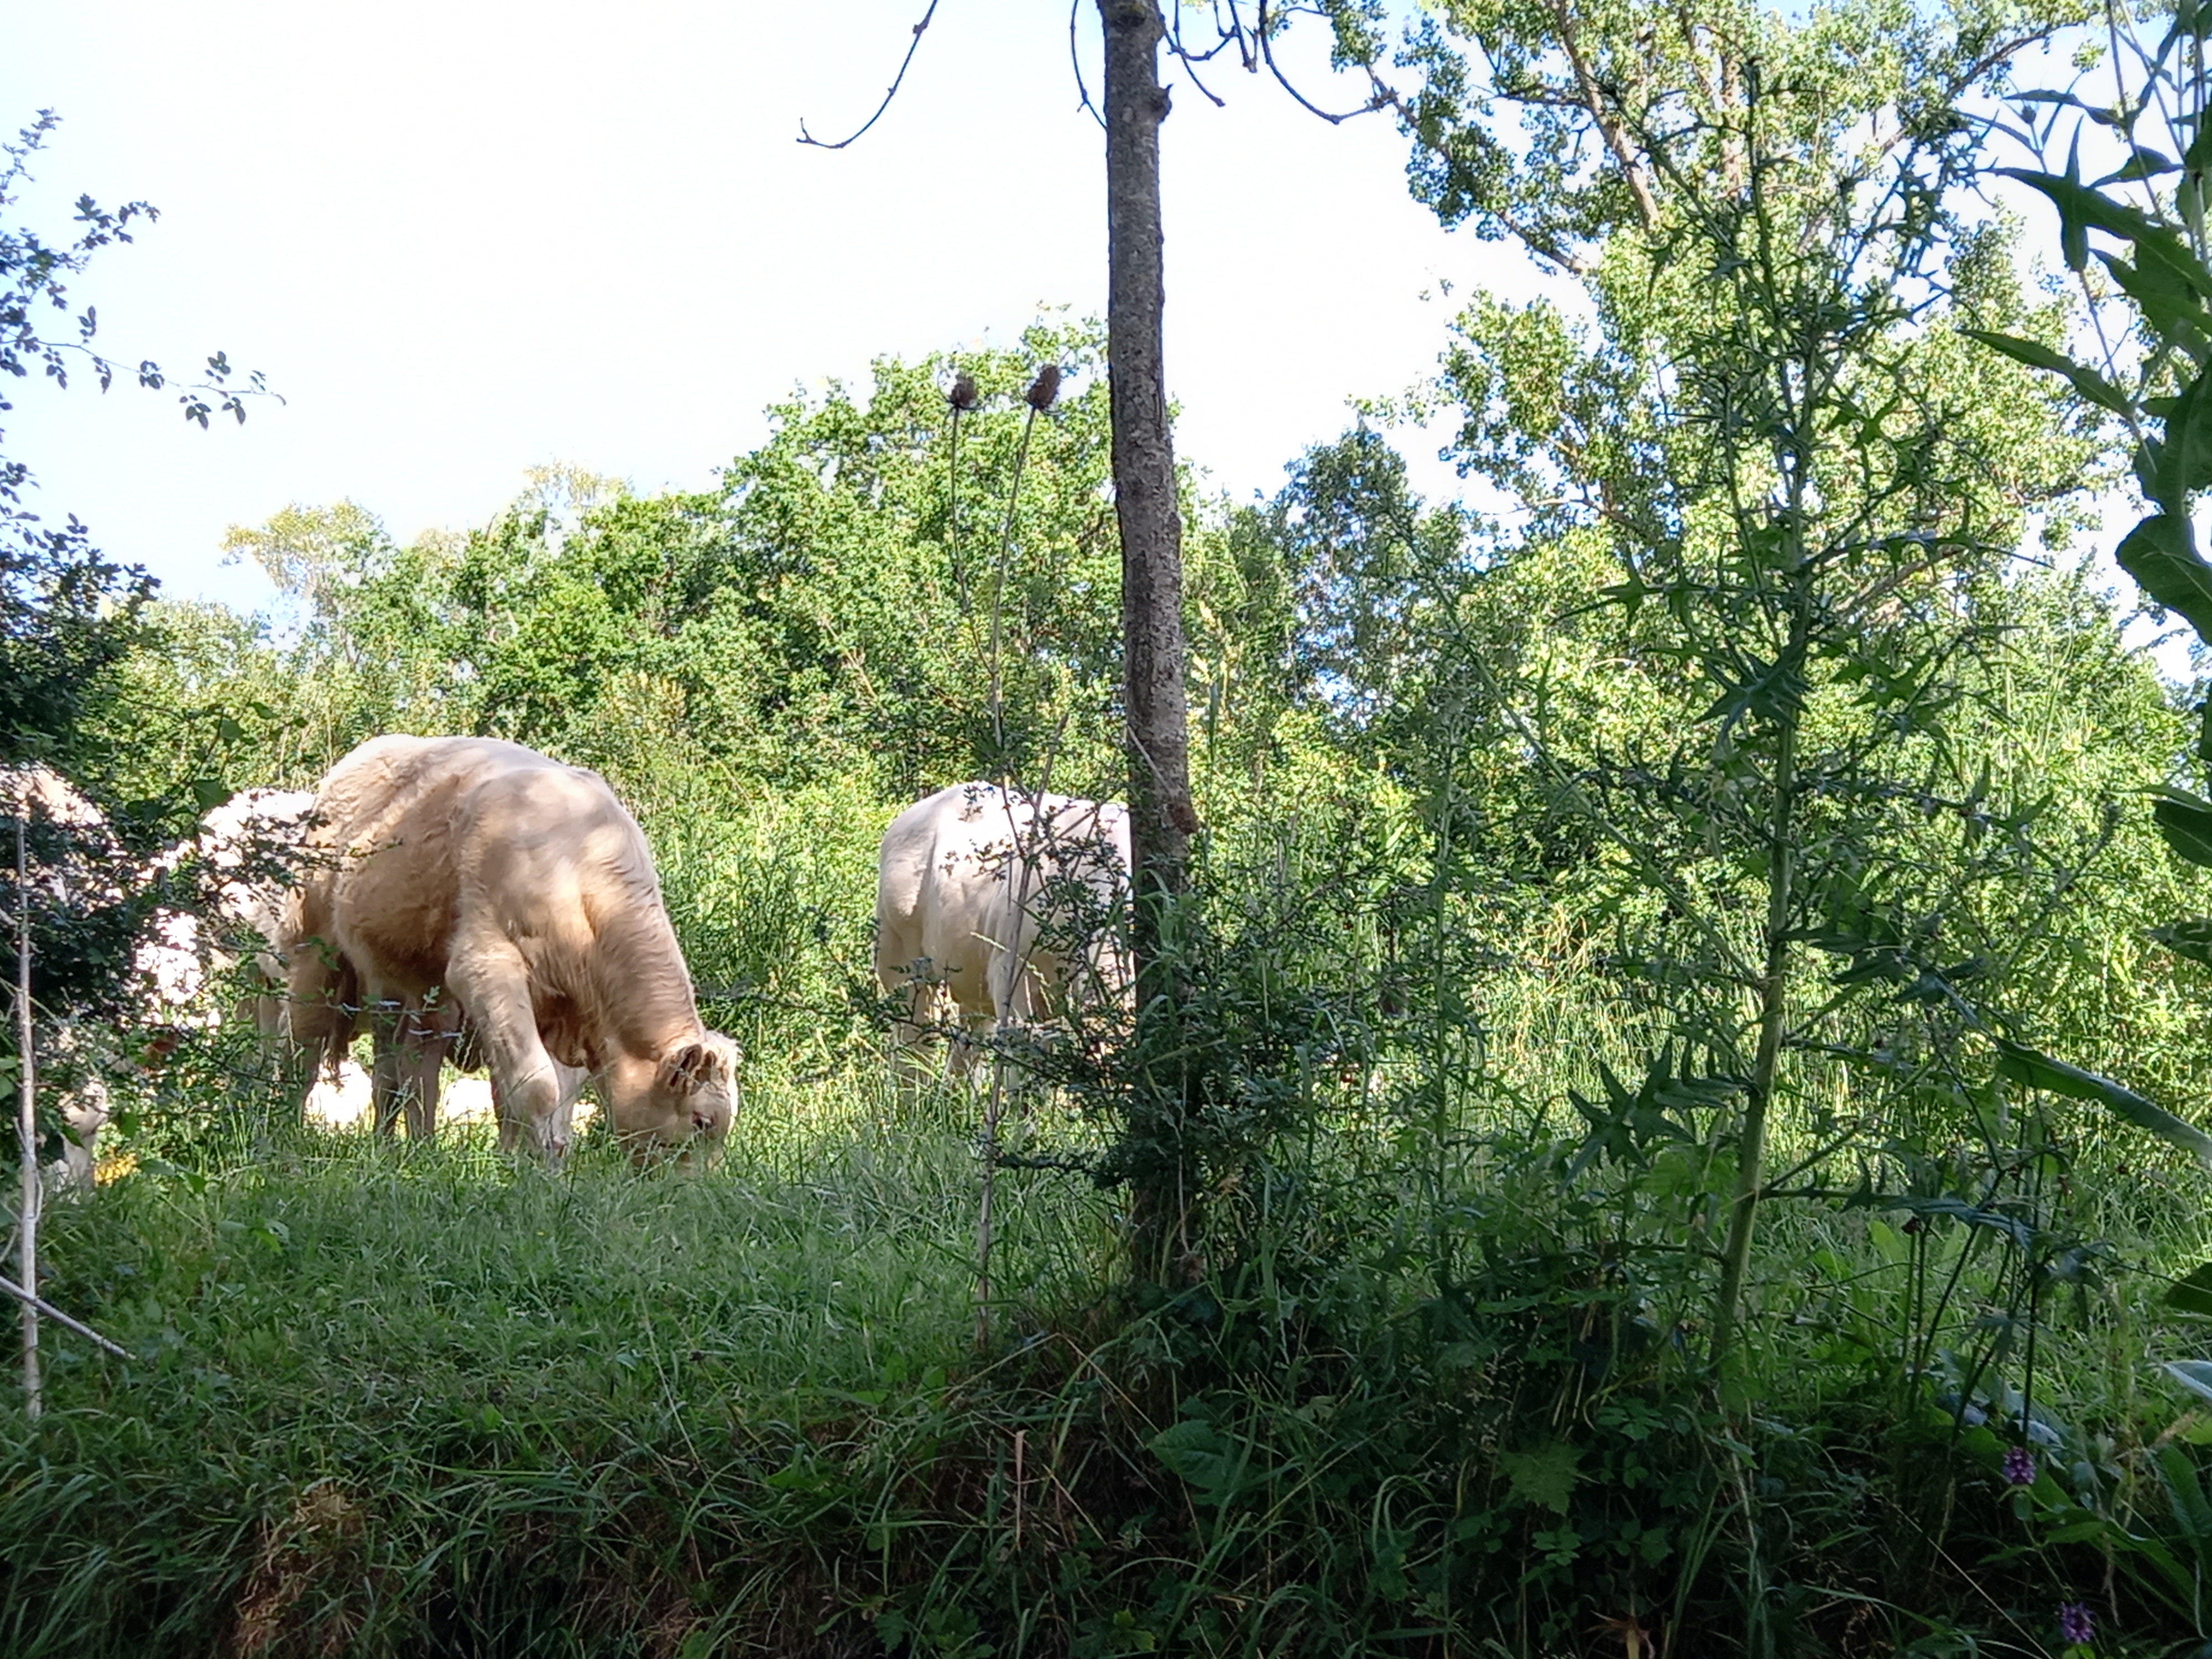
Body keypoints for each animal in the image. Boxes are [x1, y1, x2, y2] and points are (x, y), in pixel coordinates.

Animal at [284, 735, 738, 1160]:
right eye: (701, 1121)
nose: (690, 1188)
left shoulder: (557, 1006)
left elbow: (527, 1098)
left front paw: (524, 1163)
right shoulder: (486, 967)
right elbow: (537, 1086)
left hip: (420, 989)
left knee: (406, 1066)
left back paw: (415, 1148)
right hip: (318, 950)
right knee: (307, 1045)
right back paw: (285, 1131)